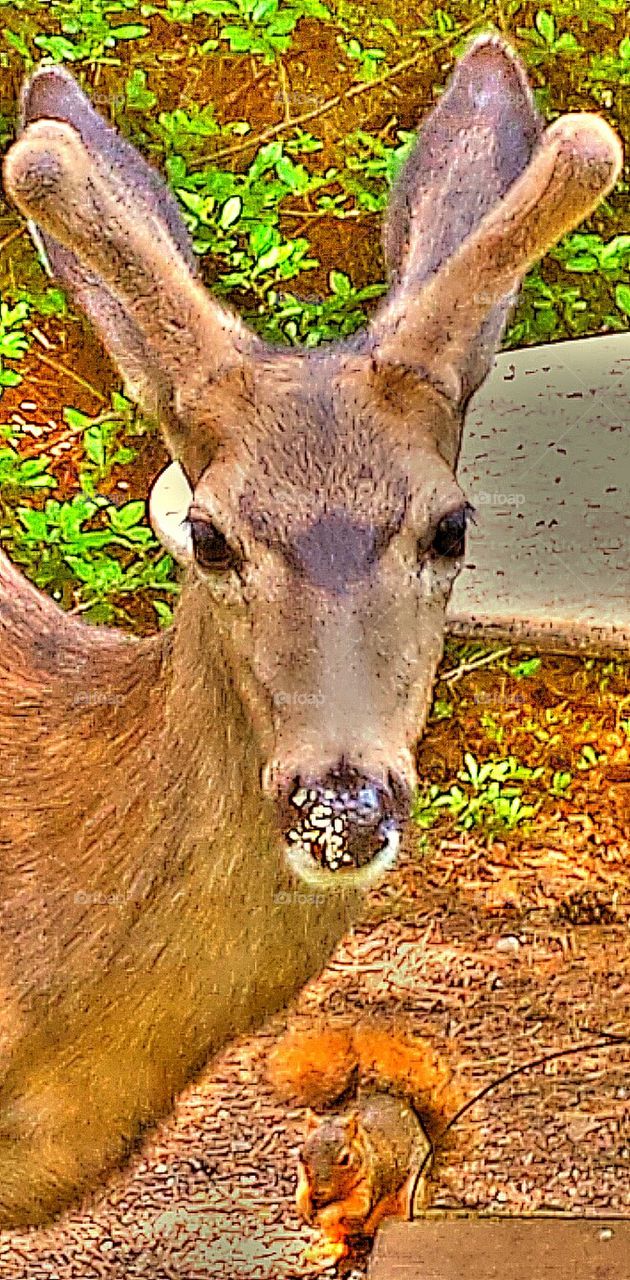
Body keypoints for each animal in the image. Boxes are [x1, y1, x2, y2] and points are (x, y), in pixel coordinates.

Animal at [266, 1021, 464, 1270]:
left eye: (345, 1159)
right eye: (301, 1156)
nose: (318, 1192)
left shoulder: (369, 1187)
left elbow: (352, 1206)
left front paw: (326, 1213)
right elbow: (301, 1188)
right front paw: (302, 1202)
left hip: (411, 1192)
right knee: (340, 1241)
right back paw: (325, 1252)